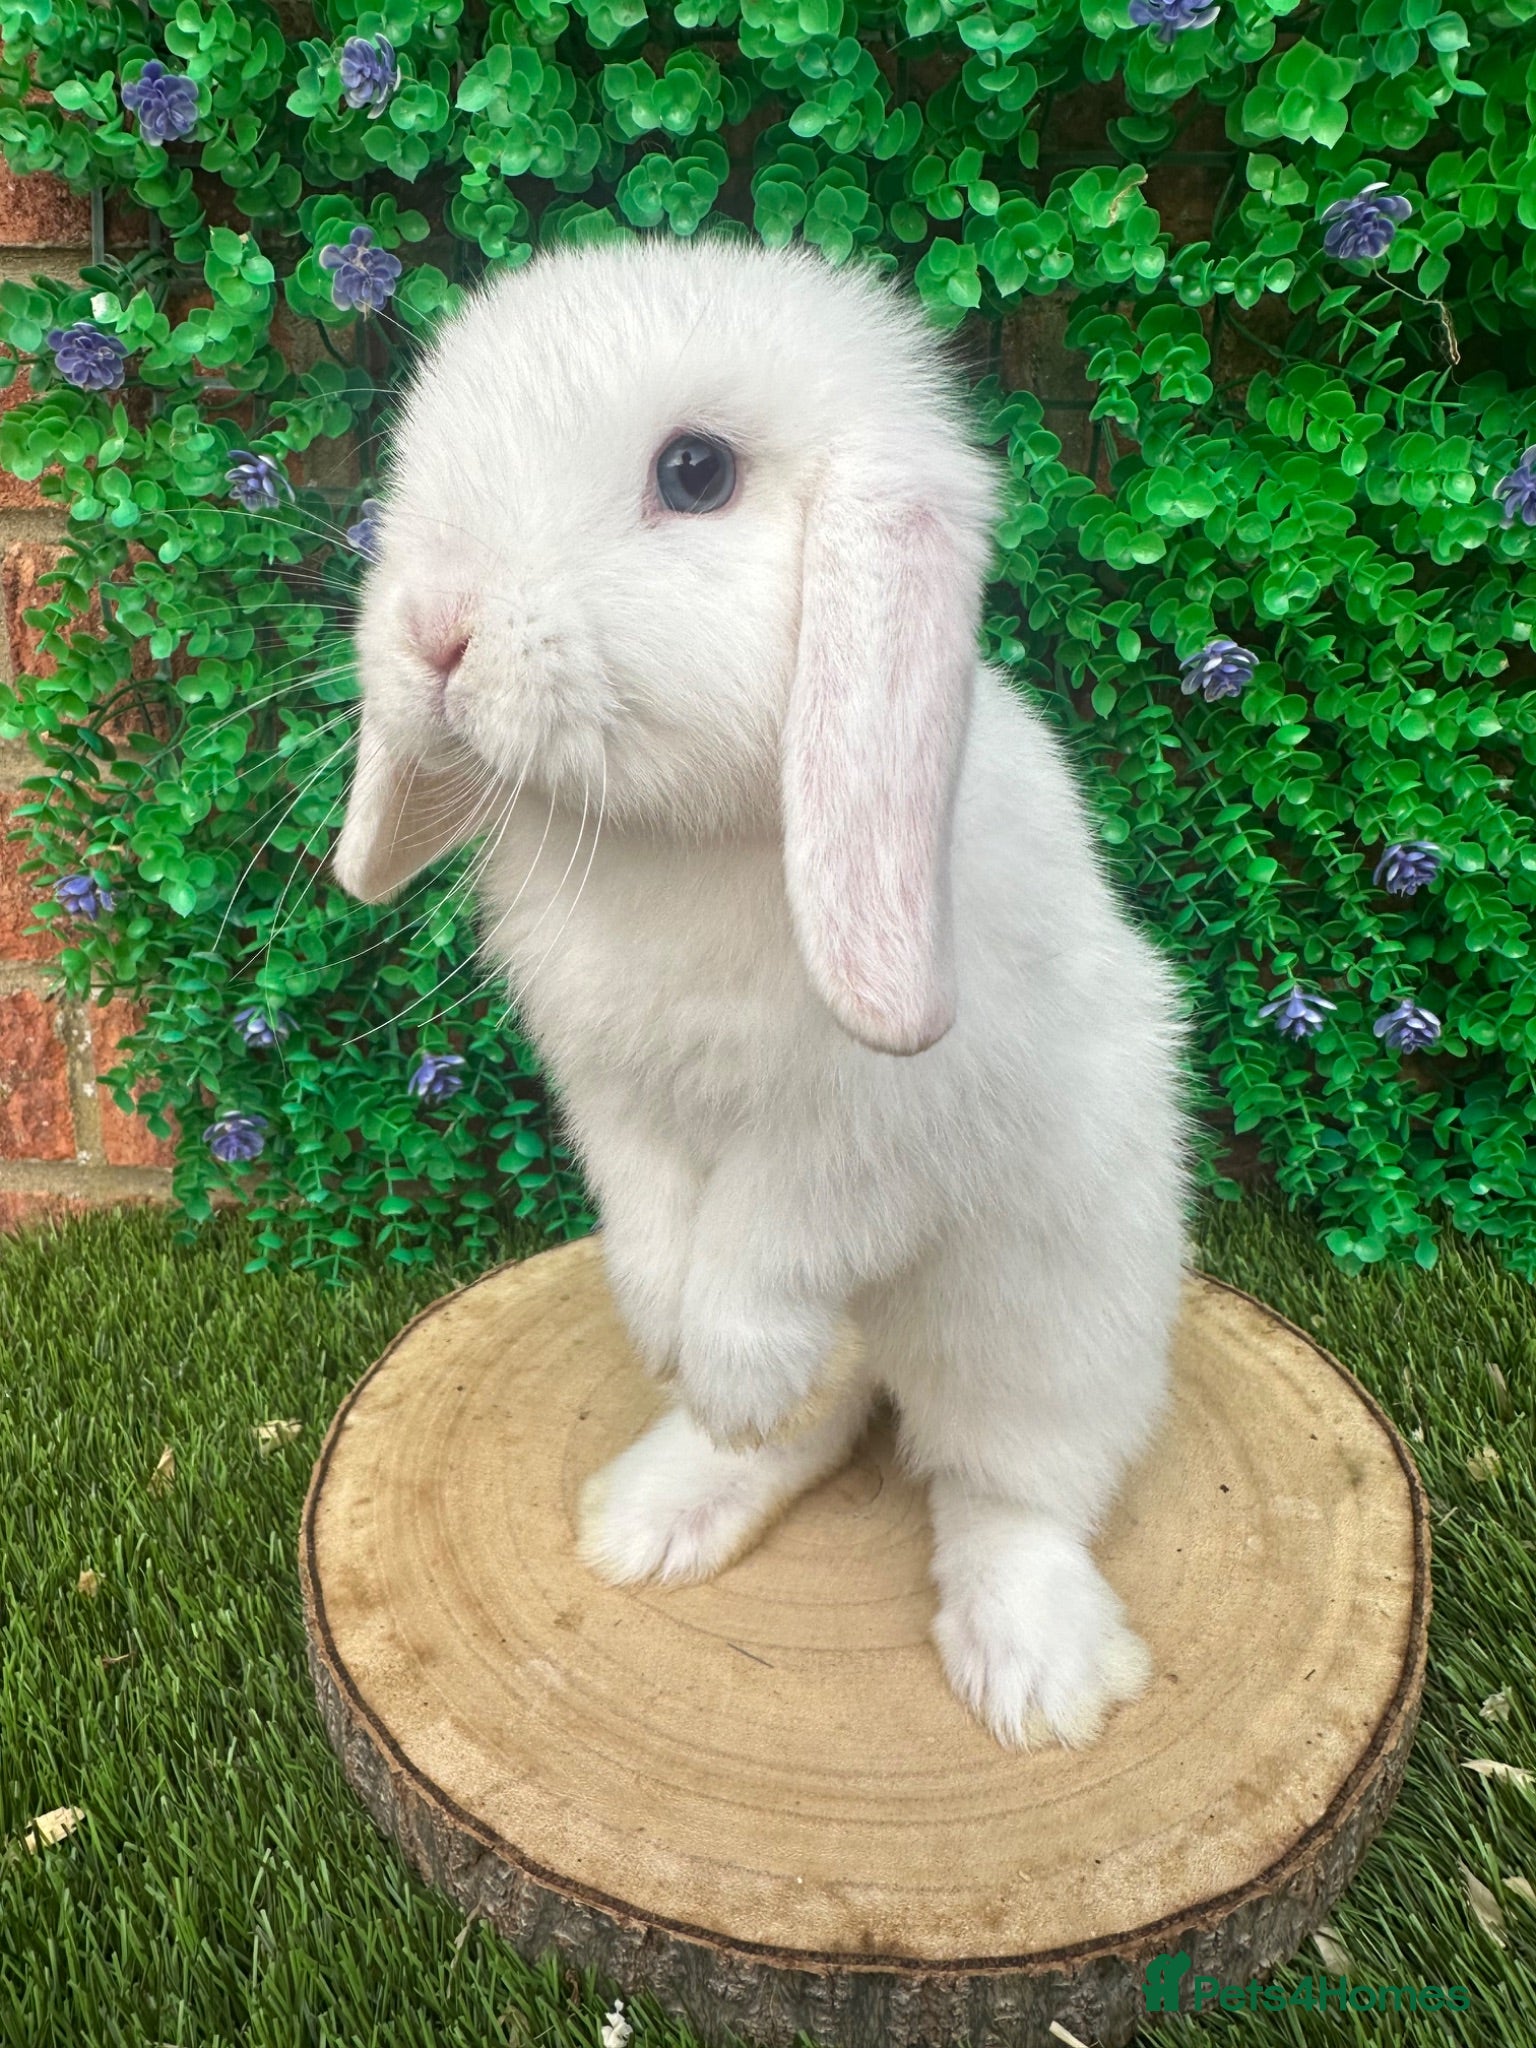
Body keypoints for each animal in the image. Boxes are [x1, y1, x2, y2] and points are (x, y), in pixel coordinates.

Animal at [330, 227, 1196, 1751]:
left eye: (695, 473)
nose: (434, 631)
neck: (678, 842)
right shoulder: (612, 1096)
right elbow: (653, 1232)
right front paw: (668, 1346)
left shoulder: (866, 1132)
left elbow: (768, 1244)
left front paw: (720, 1361)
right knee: (822, 1419)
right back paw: (663, 1506)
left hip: (1048, 1320)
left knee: (1011, 1485)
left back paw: (1035, 1673)